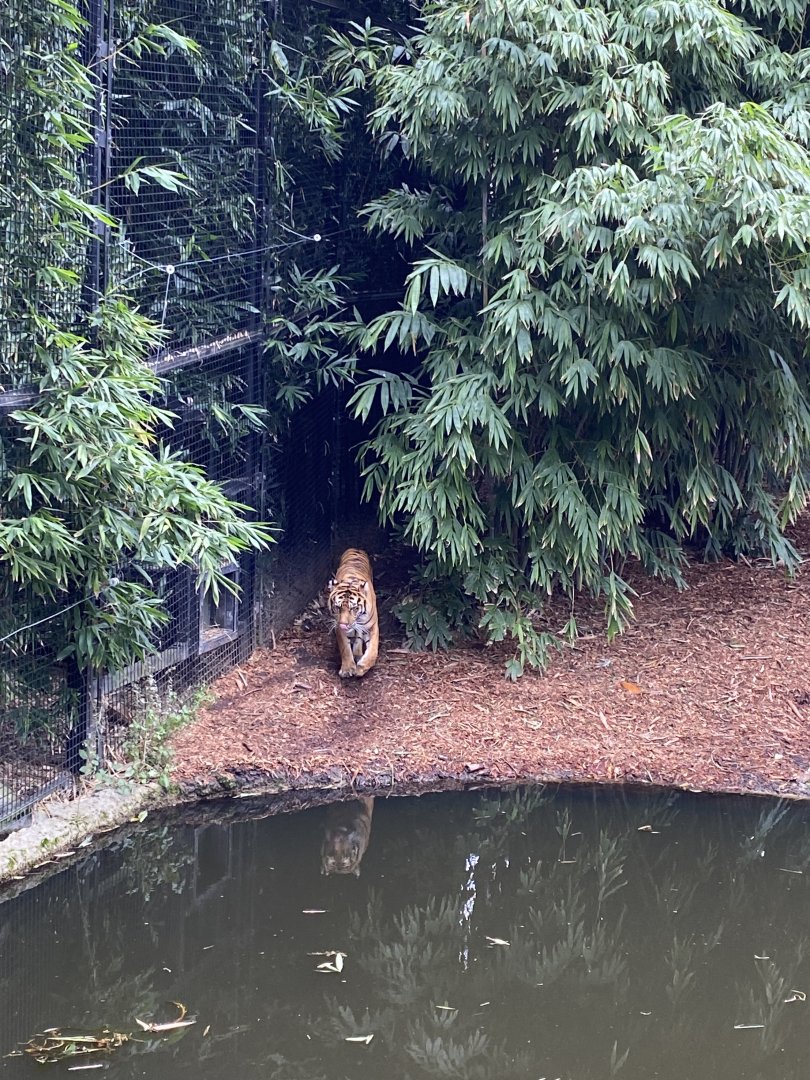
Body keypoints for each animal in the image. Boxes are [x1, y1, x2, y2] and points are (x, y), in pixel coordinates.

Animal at [327, 548, 379, 679]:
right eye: (337, 607)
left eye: (354, 608)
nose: (343, 625)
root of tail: (357, 548)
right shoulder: (338, 627)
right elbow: (345, 648)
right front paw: (347, 669)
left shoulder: (372, 626)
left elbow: (373, 649)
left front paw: (362, 666)